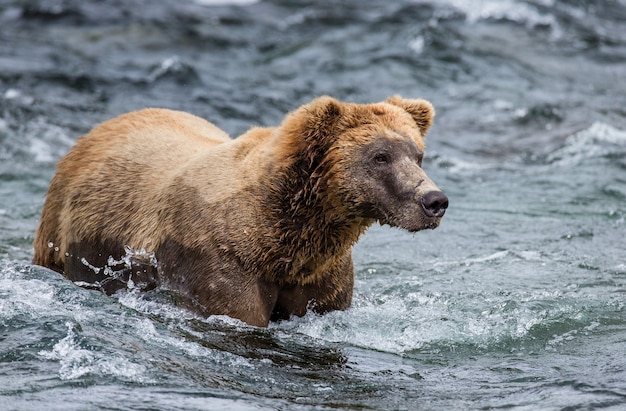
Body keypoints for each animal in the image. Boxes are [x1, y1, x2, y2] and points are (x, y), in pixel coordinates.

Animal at [33, 96, 444, 328]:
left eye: (417, 154)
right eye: (380, 156)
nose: (434, 200)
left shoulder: (321, 273)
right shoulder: (219, 263)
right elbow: (239, 313)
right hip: (67, 238)